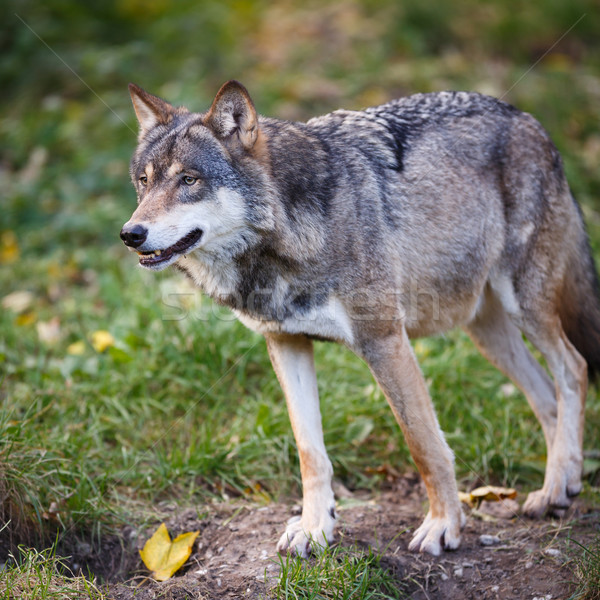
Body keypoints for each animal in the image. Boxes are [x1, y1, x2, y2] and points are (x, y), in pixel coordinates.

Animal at [119, 81, 596, 556]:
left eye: (188, 180)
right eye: (144, 182)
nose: (130, 234)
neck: (289, 235)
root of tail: (528, 120)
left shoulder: (384, 339)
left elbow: (424, 445)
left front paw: (444, 525)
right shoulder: (286, 344)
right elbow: (310, 452)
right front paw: (314, 528)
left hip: (525, 307)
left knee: (574, 368)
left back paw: (555, 488)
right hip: (485, 331)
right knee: (546, 396)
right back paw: (560, 485)